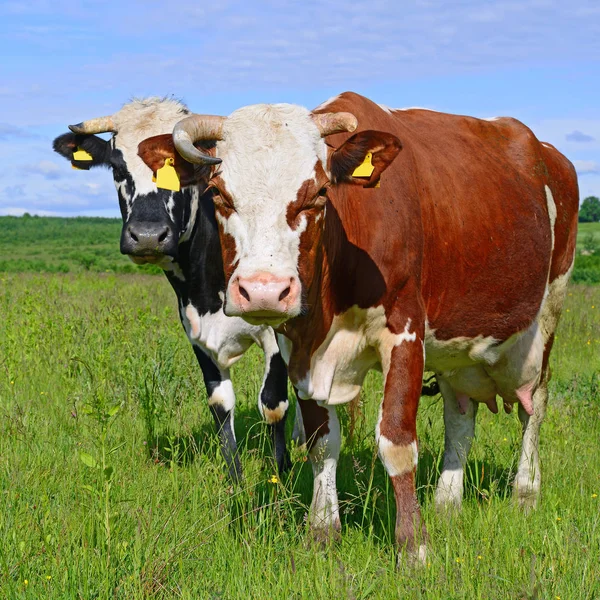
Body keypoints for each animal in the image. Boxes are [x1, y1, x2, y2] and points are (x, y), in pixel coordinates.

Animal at [53, 99, 292, 482]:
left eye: (181, 168)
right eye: (116, 167)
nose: (148, 235)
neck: (208, 288)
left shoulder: (275, 329)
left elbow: (273, 403)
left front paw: (282, 479)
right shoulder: (197, 335)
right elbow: (221, 406)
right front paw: (236, 485)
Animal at [139, 92, 576, 556]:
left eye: (318, 193)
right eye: (220, 195)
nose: (263, 291)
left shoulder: (405, 334)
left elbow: (397, 443)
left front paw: (413, 547)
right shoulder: (299, 349)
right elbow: (320, 443)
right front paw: (322, 530)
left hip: (547, 316)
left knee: (535, 406)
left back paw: (525, 493)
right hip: (459, 348)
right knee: (460, 414)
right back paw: (447, 503)